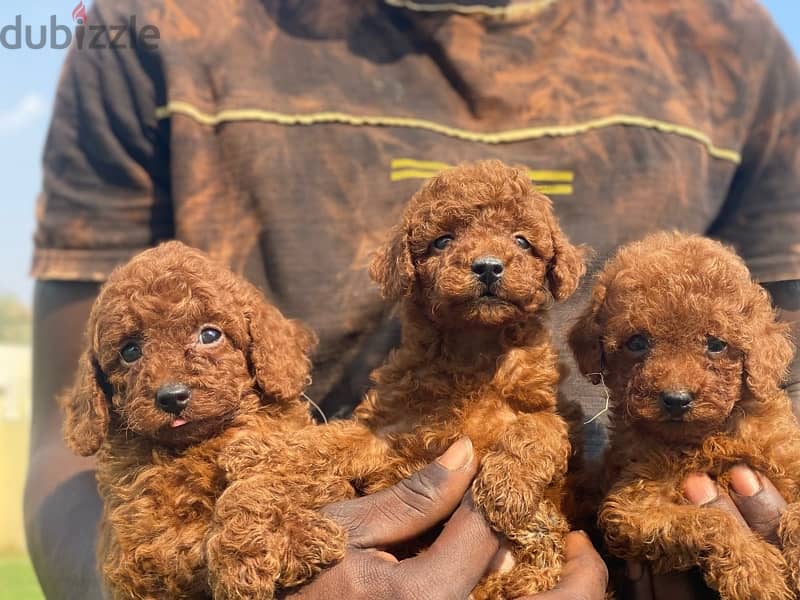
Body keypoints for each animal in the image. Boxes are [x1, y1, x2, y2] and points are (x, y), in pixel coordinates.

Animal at [60, 243, 316, 600]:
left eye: (210, 335)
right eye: (130, 351)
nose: (172, 396)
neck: (199, 443)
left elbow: (268, 478)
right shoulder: (139, 541)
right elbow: (181, 541)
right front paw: (257, 553)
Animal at [211, 161, 588, 600]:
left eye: (522, 241)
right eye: (442, 241)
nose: (489, 266)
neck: (473, 349)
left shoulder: (549, 413)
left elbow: (533, 430)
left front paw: (506, 491)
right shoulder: (387, 432)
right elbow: (328, 440)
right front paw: (260, 450)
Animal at [568, 232, 800, 596]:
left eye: (716, 345)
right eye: (637, 342)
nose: (676, 400)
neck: (707, 438)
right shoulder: (631, 504)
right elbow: (713, 519)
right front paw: (758, 574)